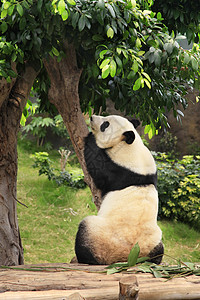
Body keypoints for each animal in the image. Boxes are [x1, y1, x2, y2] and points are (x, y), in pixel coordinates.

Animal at [75, 115, 162, 264]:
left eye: (105, 125)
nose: (92, 117)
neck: (130, 146)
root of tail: (126, 256)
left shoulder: (118, 168)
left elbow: (97, 165)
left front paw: (91, 137)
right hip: (153, 242)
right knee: (159, 251)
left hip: (98, 234)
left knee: (85, 232)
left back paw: (86, 259)